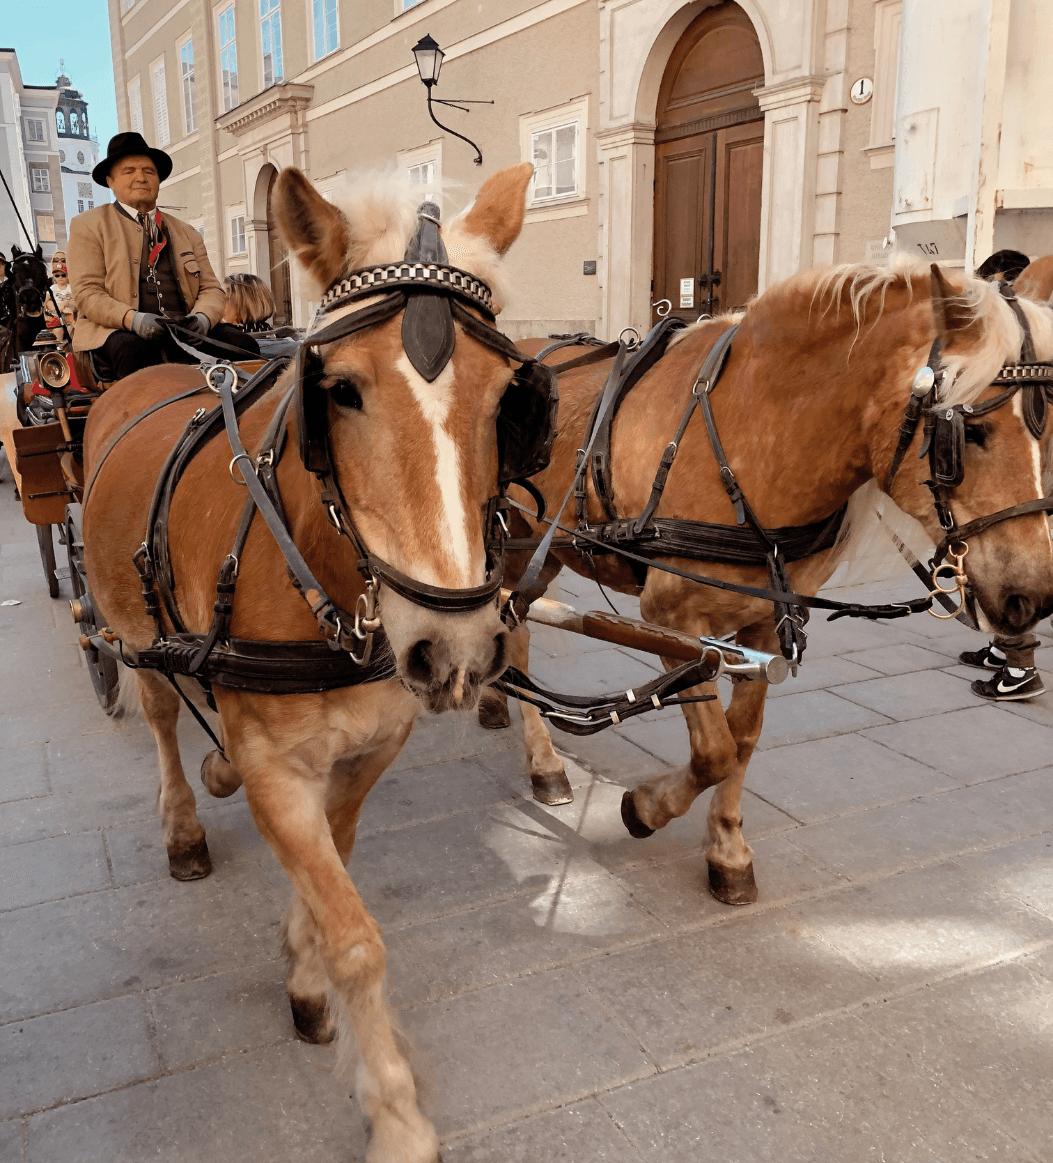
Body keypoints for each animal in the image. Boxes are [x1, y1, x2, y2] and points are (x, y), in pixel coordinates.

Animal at [81, 162, 535, 1163]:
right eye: (345, 391)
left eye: (504, 398)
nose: (452, 647)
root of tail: (165, 364)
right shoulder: (276, 764)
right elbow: (356, 932)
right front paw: (395, 1110)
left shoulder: (371, 746)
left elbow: (336, 867)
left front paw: (303, 962)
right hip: (131, 632)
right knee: (163, 715)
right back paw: (184, 818)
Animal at [490, 258, 1053, 906]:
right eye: (967, 435)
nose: (1033, 596)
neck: (752, 432)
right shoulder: (674, 621)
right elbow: (713, 750)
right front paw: (645, 808)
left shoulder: (764, 621)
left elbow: (743, 739)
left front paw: (727, 848)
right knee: (513, 632)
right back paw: (543, 761)